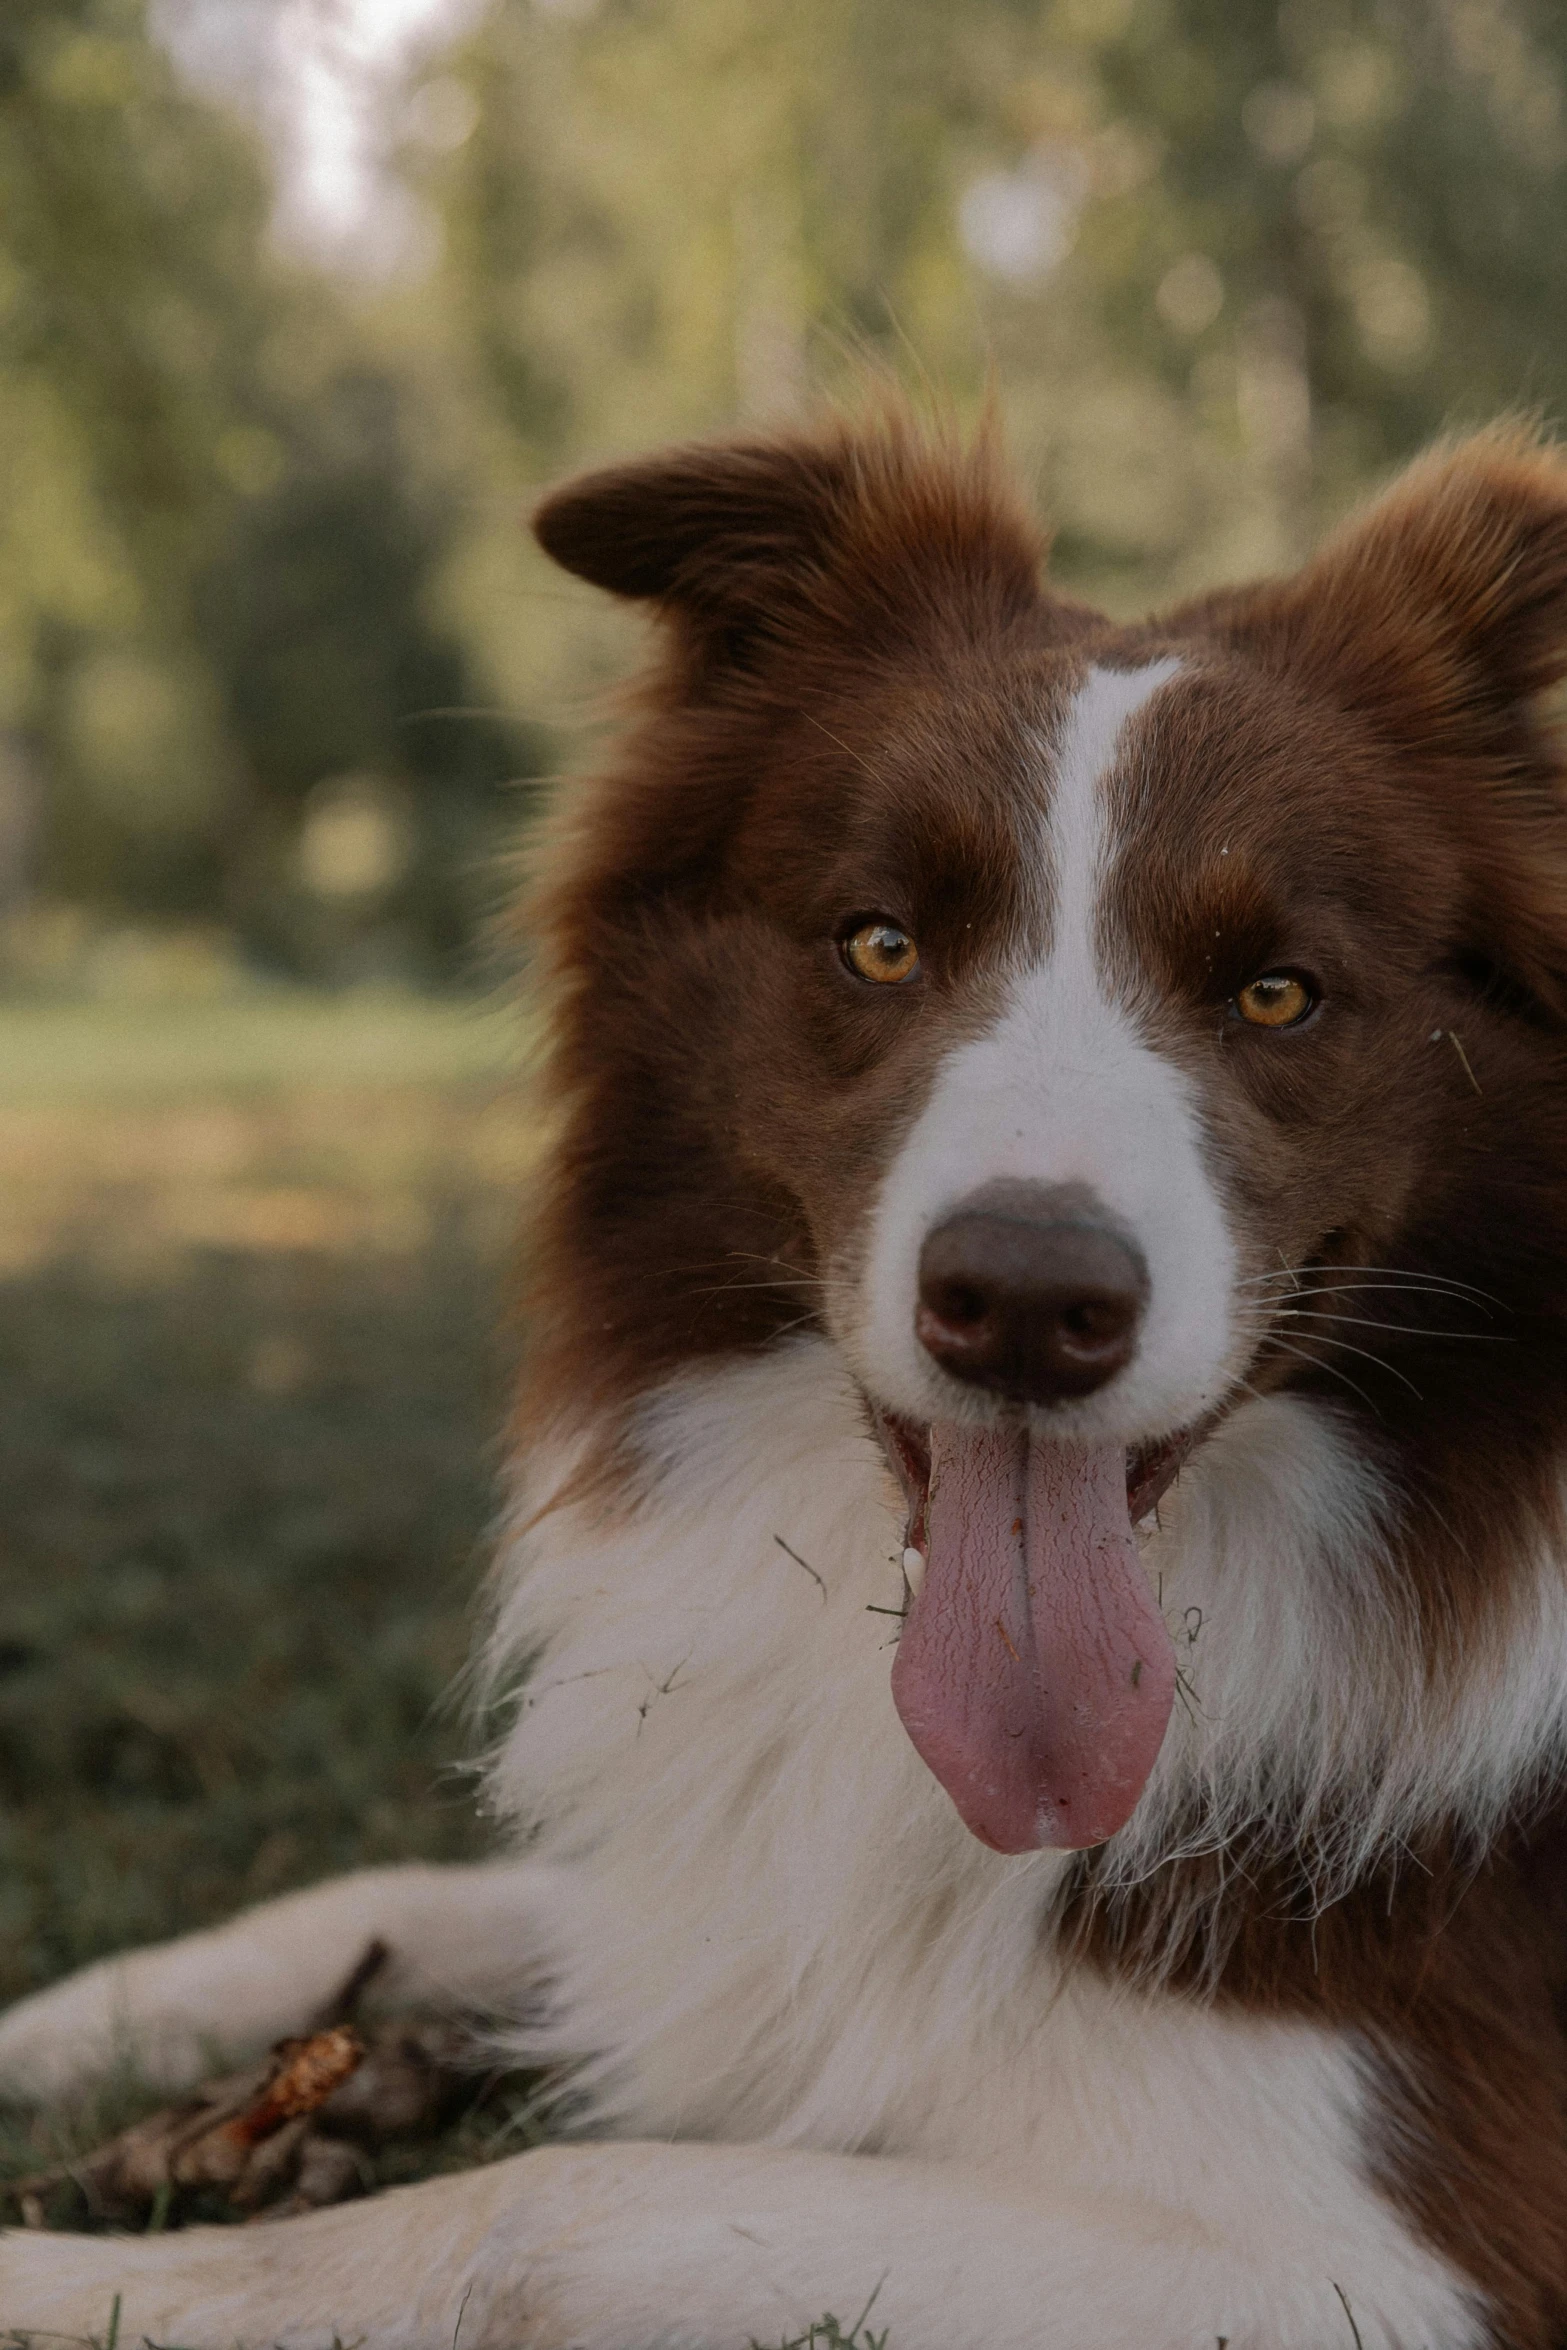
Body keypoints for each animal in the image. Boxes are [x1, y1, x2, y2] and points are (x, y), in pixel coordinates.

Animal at [9, 413, 1567, 2340]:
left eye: (1276, 992)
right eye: (879, 942)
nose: (1024, 1302)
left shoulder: (1360, 2270)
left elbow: (530, 2211)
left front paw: (67, 2270)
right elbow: (457, 1894)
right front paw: (80, 2020)